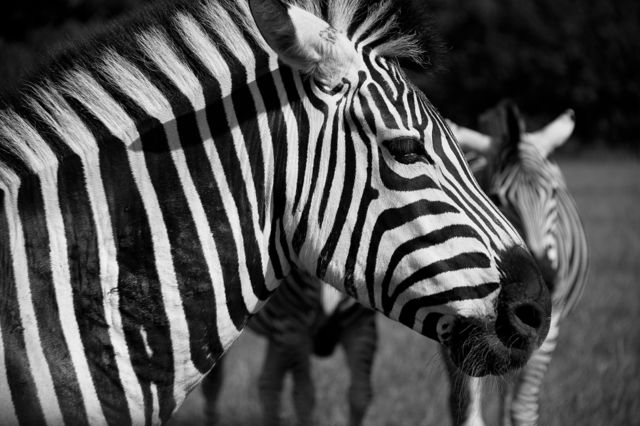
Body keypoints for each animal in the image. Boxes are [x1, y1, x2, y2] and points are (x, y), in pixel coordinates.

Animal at [202, 270, 377, 426]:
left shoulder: (362, 325)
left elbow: (360, 396)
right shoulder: (293, 326)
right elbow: (304, 397)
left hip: (278, 330)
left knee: (268, 384)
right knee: (213, 383)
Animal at [445, 101, 589, 426]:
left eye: (553, 192)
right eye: (496, 198)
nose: (546, 280)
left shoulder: (549, 325)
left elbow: (522, 408)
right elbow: (467, 409)